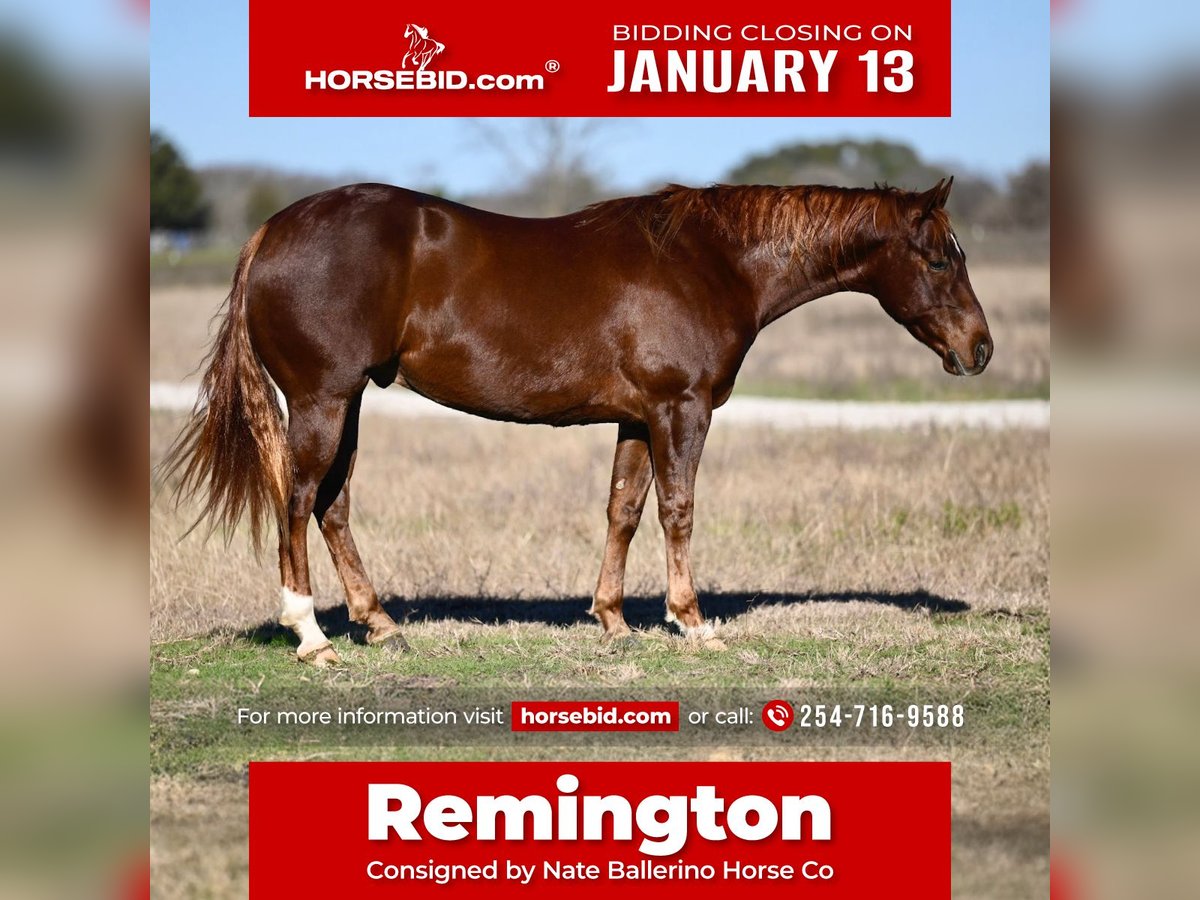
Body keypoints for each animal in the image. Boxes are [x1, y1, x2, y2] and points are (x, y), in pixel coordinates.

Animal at [166, 180, 993, 667]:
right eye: (941, 259)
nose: (980, 349)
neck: (711, 259)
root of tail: (271, 232)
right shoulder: (680, 408)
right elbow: (678, 509)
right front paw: (692, 620)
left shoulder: (637, 418)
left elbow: (623, 510)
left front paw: (613, 619)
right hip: (322, 400)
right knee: (300, 499)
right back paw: (310, 635)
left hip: (350, 402)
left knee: (333, 504)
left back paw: (380, 623)